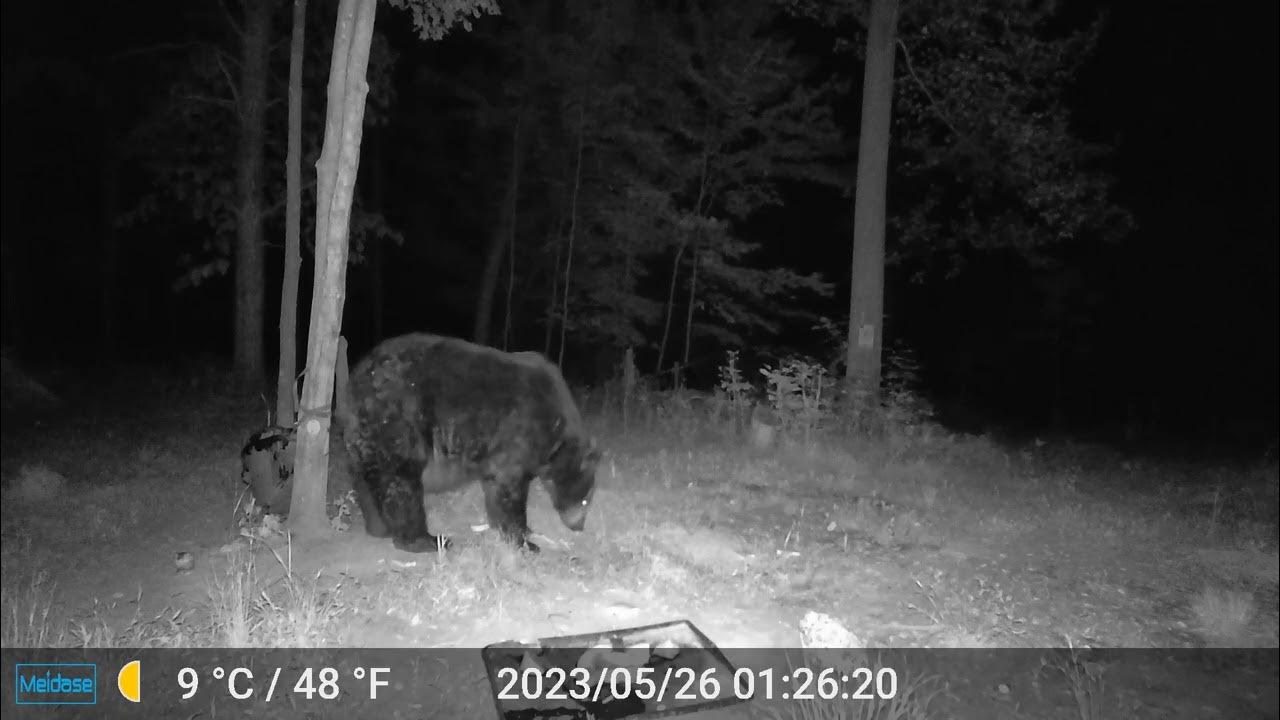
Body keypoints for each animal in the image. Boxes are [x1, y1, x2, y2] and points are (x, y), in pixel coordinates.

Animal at [335, 333, 600, 553]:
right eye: (586, 499)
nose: (579, 526)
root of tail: (355, 381)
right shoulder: (520, 431)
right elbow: (510, 489)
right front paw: (526, 541)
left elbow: (495, 487)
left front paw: (517, 531)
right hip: (397, 421)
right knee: (400, 481)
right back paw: (426, 539)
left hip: (364, 434)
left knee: (367, 478)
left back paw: (378, 527)